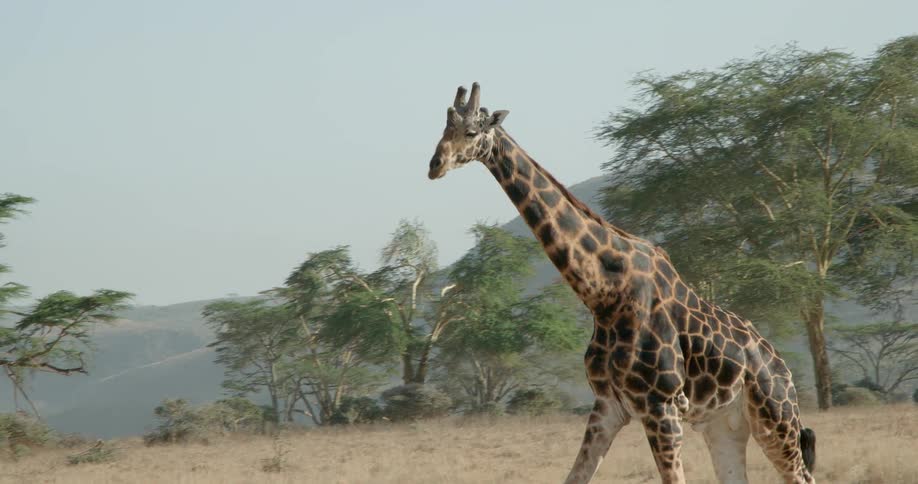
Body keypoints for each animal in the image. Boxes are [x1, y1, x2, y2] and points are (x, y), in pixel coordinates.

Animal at [426, 83, 816, 484]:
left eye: (471, 131)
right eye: (443, 126)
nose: (434, 165)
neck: (604, 294)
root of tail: (782, 367)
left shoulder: (661, 406)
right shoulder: (608, 404)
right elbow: (575, 477)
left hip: (775, 419)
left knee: (803, 475)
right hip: (724, 425)